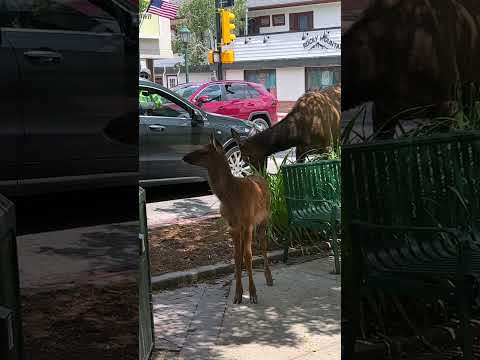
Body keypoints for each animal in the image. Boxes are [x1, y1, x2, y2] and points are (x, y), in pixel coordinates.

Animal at [183, 134, 274, 302]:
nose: (185, 157)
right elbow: (236, 257)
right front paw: (238, 294)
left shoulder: (248, 222)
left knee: (264, 245)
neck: (231, 195)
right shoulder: (232, 226)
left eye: (204, 151)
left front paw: (253, 294)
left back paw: (269, 278)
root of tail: (260, 177)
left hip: (264, 218)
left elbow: (248, 256)